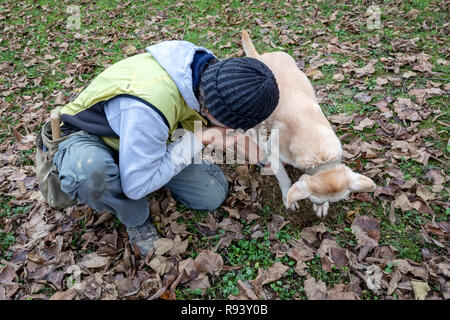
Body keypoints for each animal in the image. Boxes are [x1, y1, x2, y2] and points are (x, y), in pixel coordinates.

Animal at [243, 30, 376, 218]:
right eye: (314, 199)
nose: (319, 206)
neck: (318, 154)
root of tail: (260, 57)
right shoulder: (276, 153)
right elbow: (284, 178)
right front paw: (288, 197)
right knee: (256, 135)